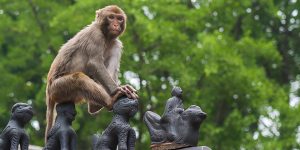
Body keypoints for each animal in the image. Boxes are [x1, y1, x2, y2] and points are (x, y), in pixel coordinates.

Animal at [45, 4, 139, 142]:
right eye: (111, 17)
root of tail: (48, 91)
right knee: (79, 79)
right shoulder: (96, 35)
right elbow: (94, 63)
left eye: (119, 19)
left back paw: (95, 106)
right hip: (57, 89)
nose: (116, 24)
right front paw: (118, 90)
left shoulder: (116, 43)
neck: (106, 36)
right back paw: (110, 101)